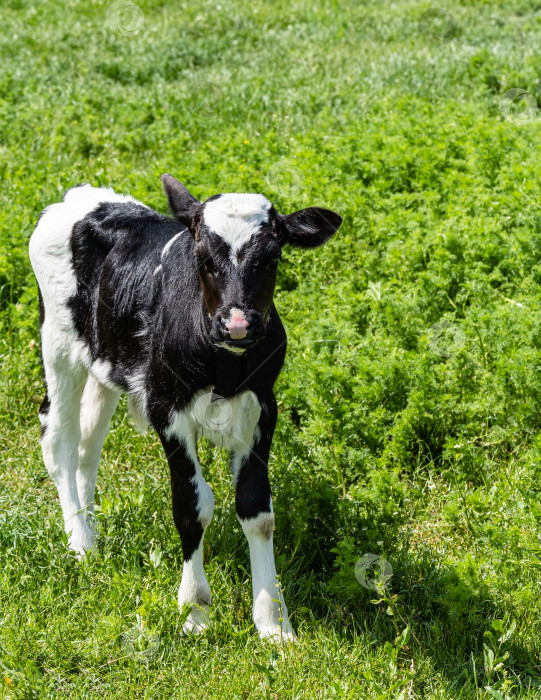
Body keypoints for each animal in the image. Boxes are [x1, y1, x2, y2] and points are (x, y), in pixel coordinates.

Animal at [28, 175, 342, 640]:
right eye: (201, 258)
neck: (225, 364)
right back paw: (80, 543)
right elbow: (192, 507)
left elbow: (257, 510)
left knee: (88, 443)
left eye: (271, 257)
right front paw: (195, 611)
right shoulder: (166, 409)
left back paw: (93, 529)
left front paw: (273, 622)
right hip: (58, 343)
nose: (237, 323)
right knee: (59, 439)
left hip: (104, 362)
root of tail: (81, 196)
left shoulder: (263, 409)